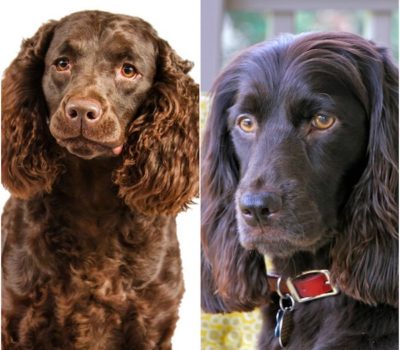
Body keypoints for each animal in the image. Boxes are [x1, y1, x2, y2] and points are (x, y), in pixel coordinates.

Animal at [1, 9, 198, 348]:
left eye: (128, 70)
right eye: (62, 63)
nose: (81, 110)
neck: (93, 204)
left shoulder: (153, 323)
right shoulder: (18, 320)